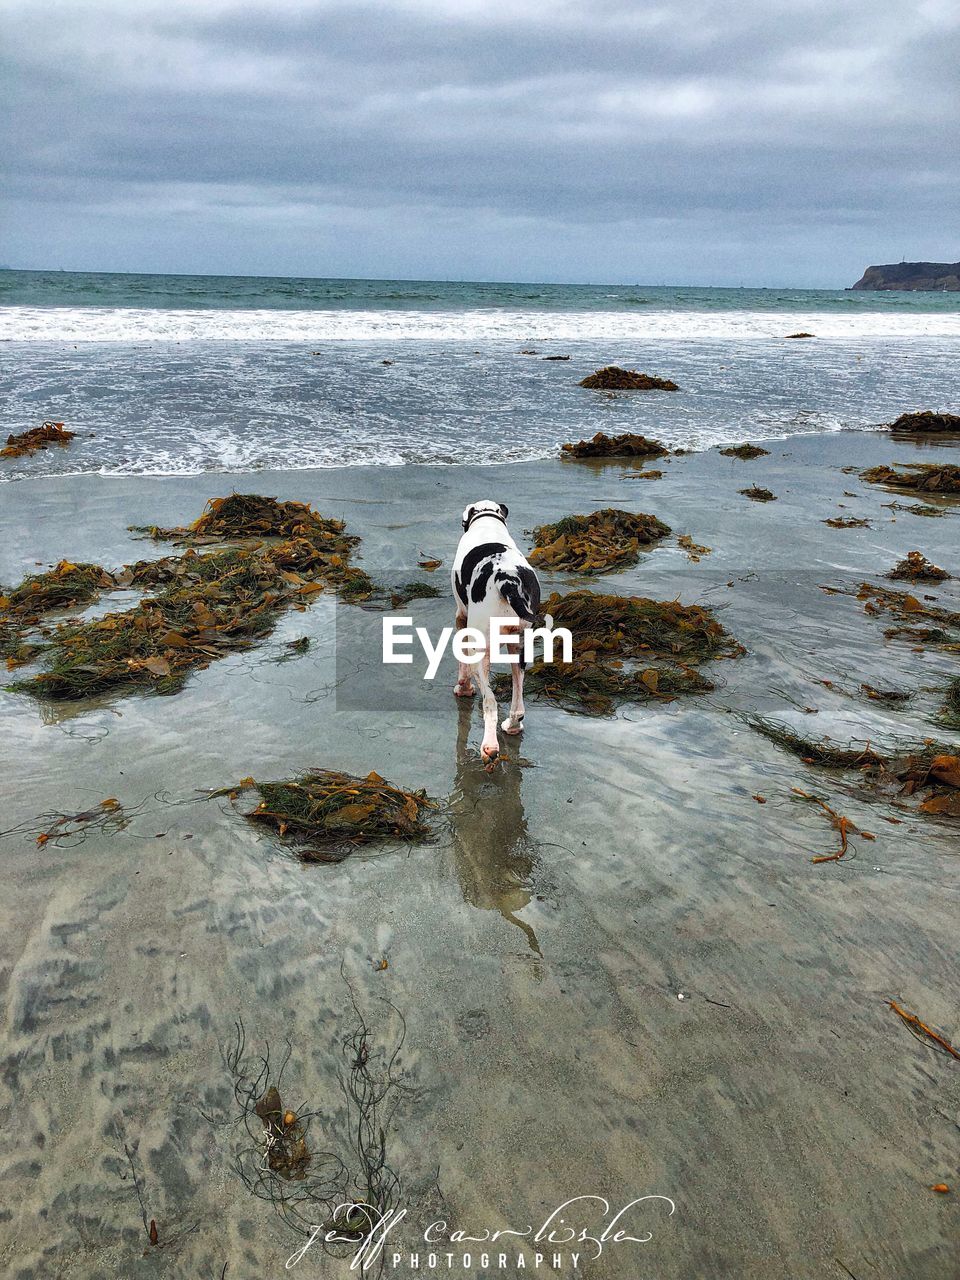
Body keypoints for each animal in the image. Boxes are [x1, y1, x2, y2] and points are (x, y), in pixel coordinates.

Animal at [453, 499, 545, 757]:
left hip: (480, 652)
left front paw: (463, 687)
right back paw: (513, 726)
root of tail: (509, 581)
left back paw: (490, 746)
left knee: (490, 702)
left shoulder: (461, 617)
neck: (487, 521)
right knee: (518, 702)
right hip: (519, 648)